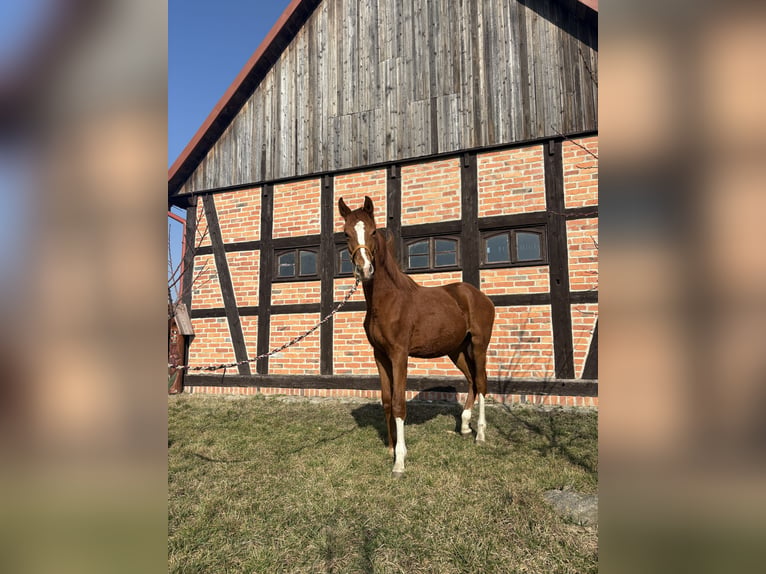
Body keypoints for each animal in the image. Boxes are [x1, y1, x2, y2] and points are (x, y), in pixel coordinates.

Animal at [338, 196, 495, 477]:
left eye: (373, 231)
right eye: (346, 234)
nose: (365, 270)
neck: (388, 300)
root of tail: (479, 296)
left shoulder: (399, 354)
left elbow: (399, 403)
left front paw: (399, 461)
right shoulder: (380, 355)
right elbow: (387, 401)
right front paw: (390, 448)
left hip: (479, 346)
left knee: (482, 382)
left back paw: (480, 434)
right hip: (456, 350)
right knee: (471, 381)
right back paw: (464, 427)